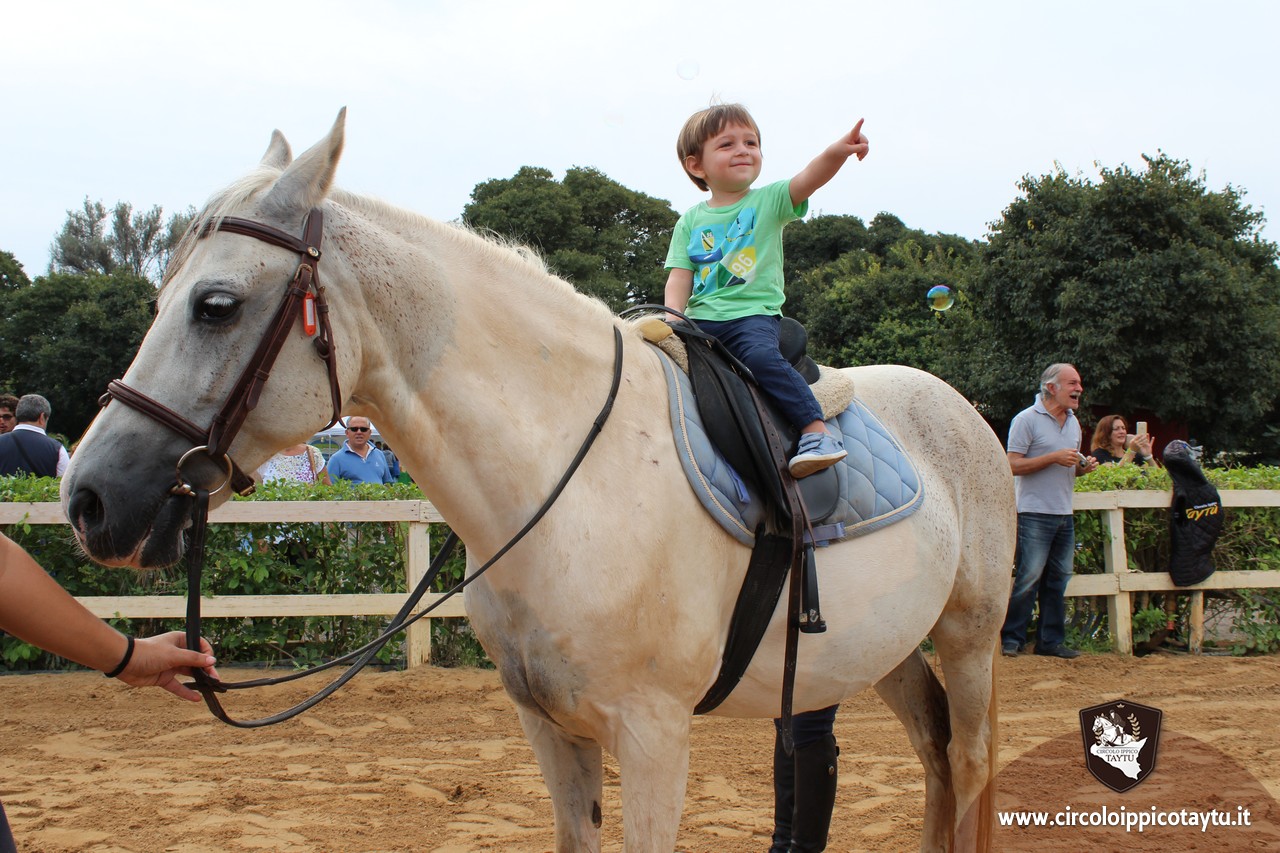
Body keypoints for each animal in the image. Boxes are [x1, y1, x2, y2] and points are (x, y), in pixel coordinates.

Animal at [61, 110, 1016, 852]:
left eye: (215, 305)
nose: (89, 499)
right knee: (935, 759)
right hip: (882, 648)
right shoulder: (551, 729)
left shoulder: (655, 733)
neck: (572, 485)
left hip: (969, 634)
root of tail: (966, 415)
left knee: (969, 764)